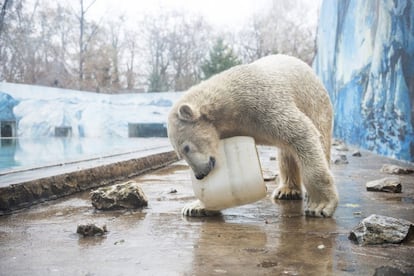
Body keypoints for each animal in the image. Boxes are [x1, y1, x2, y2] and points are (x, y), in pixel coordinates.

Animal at [167, 54, 338, 218]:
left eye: (186, 148)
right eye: (179, 154)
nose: (199, 175)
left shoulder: (264, 104)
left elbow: (301, 133)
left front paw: (320, 206)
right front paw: (195, 207)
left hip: (315, 104)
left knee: (319, 141)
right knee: (286, 154)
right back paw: (287, 191)